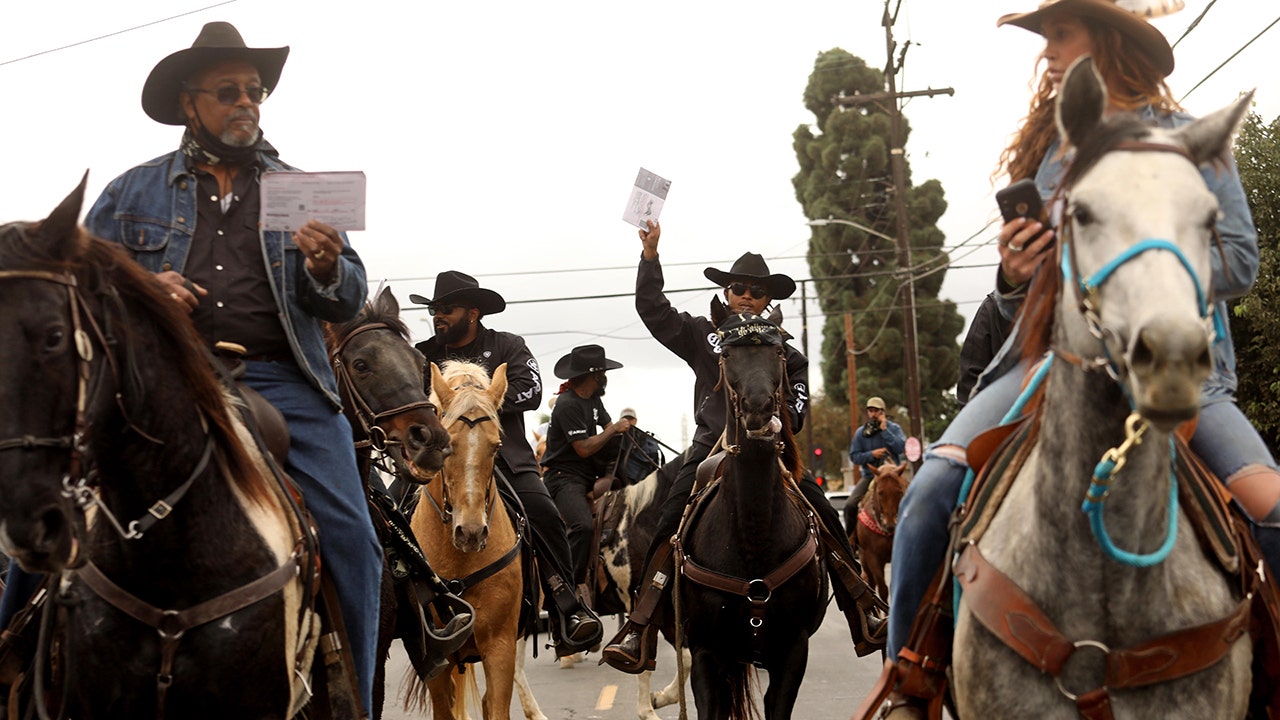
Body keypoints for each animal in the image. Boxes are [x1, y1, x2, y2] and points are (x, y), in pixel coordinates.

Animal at [675, 315, 824, 717]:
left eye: (779, 352)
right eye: (726, 354)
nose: (758, 406)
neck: (752, 536)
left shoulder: (793, 652)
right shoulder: (706, 654)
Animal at [849, 458, 911, 599]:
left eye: (899, 491)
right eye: (880, 493)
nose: (890, 525)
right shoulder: (872, 556)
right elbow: (882, 589)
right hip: (864, 558)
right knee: (871, 582)